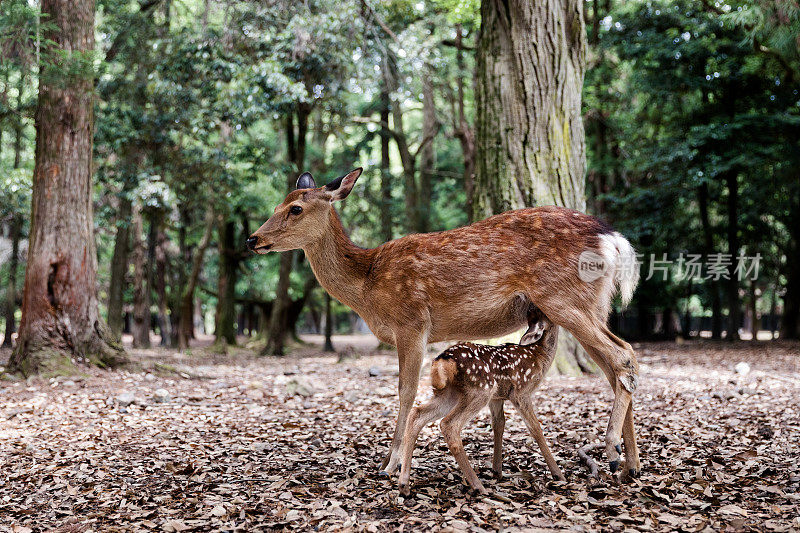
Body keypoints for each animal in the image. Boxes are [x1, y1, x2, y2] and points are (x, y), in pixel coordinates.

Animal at [247, 167, 640, 478]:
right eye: (278, 203)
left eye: (295, 208)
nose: (253, 238)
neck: (368, 283)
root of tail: (613, 239)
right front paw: (388, 461)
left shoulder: (412, 322)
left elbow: (405, 390)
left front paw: (389, 464)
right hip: (592, 303)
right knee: (617, 366)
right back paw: (630, 463)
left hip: (563, 298)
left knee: (623, 356)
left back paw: (611, 450)